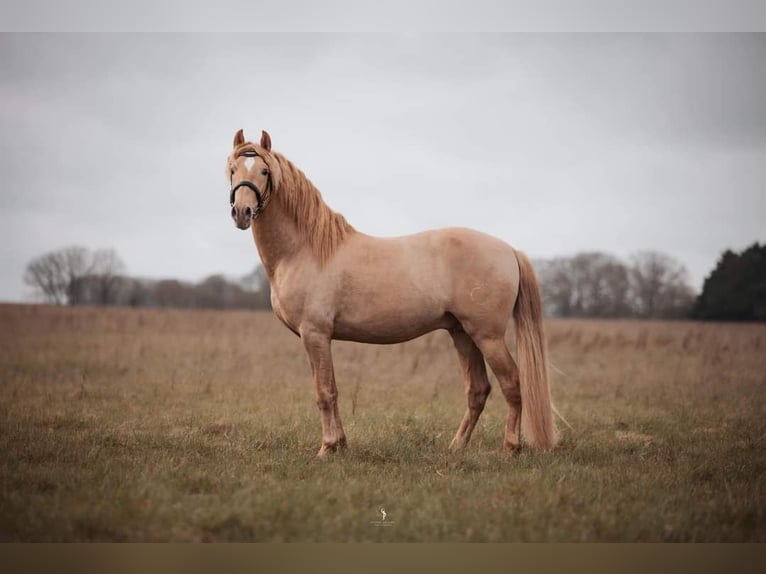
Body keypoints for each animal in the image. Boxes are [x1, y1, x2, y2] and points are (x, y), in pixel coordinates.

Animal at [226, 129, 560, 460]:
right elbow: (329, 389)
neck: (305, 250)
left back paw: (510, 448)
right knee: (478, 390)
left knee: (512, 383)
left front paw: (328, 447)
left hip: (487, 336)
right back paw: (456, 446)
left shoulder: (315, 334)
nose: (242, 213)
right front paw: (340, 444)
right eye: (232, 169)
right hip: (463, 334)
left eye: (264, 171)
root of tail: (509, 250)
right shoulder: (311, 338)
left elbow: (325, 392)